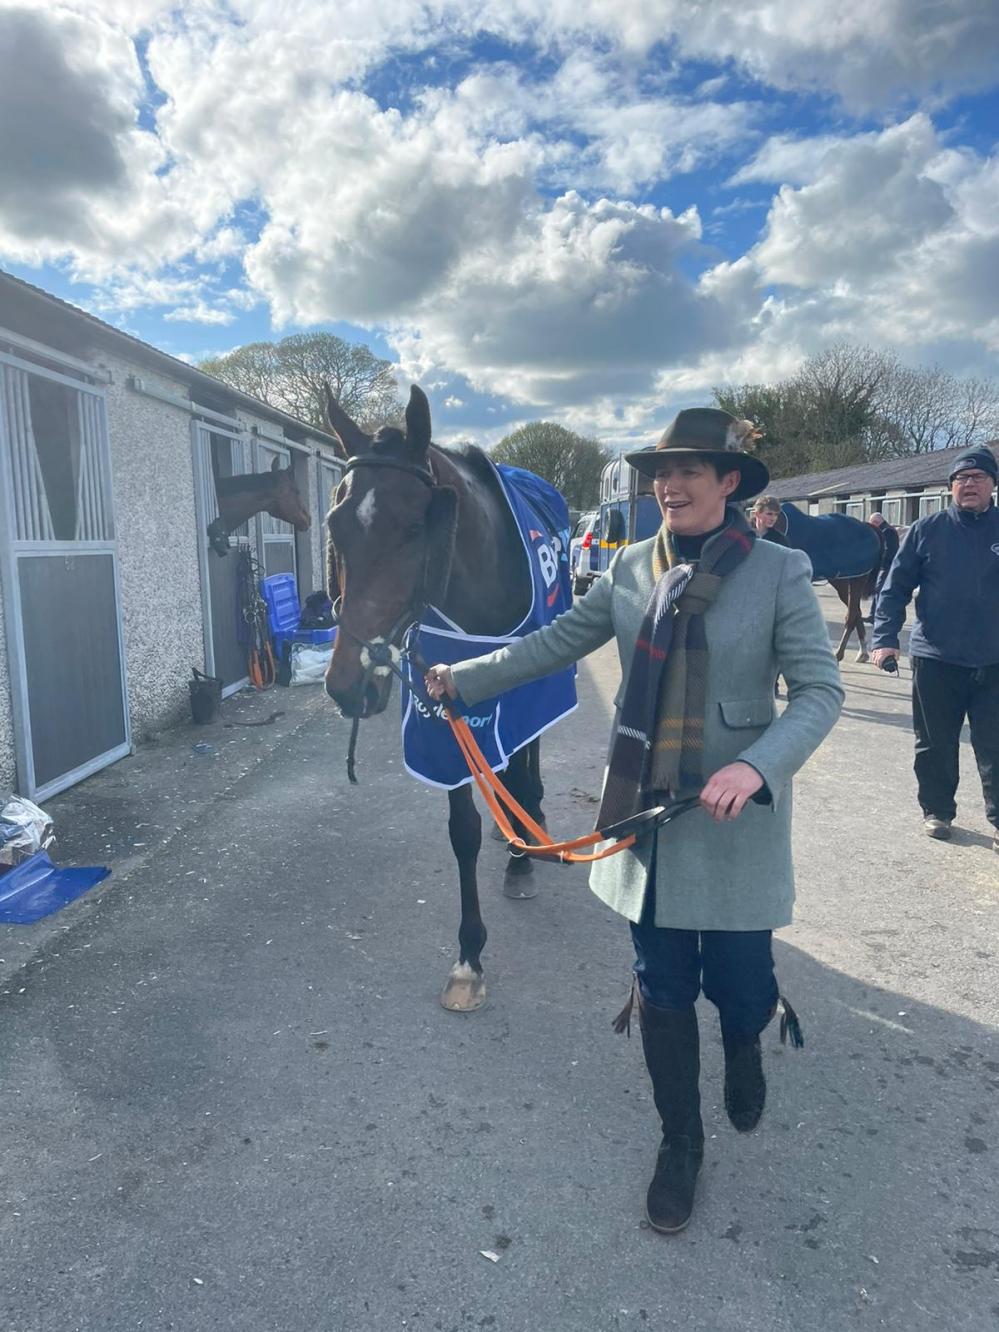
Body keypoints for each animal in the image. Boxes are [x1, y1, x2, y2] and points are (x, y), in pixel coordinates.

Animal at [317, 386, 575, 1006]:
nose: (347, 685)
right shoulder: (444, 709)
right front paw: (469, 956)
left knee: (528, 758)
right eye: (335, 524)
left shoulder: (523, 687)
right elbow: (463, 831)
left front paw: (520, 856)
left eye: (416, 527)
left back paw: (526, 830)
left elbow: (520, 759)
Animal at [777, 503, 879, 660]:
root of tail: (868, 527)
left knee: (852, 615)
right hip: (841, 581)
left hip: (857, 578)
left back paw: (839, 654)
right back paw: (862, 652)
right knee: (856, 612)